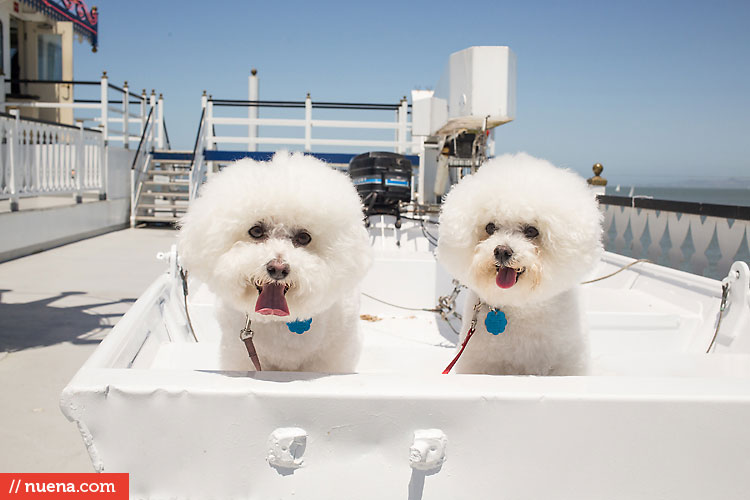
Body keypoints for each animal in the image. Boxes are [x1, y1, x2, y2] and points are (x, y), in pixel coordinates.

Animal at [179, 151, 374, 372]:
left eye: (304, 237)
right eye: (256, 231)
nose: (278, 269)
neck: (277, 321)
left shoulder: (331, 355)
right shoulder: (239, 353)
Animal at [440, 152, 604, 376]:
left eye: (531, 231)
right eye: (490, 227)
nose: (502, 251)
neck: (518, 304)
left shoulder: (567, 366)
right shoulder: (479, 365)